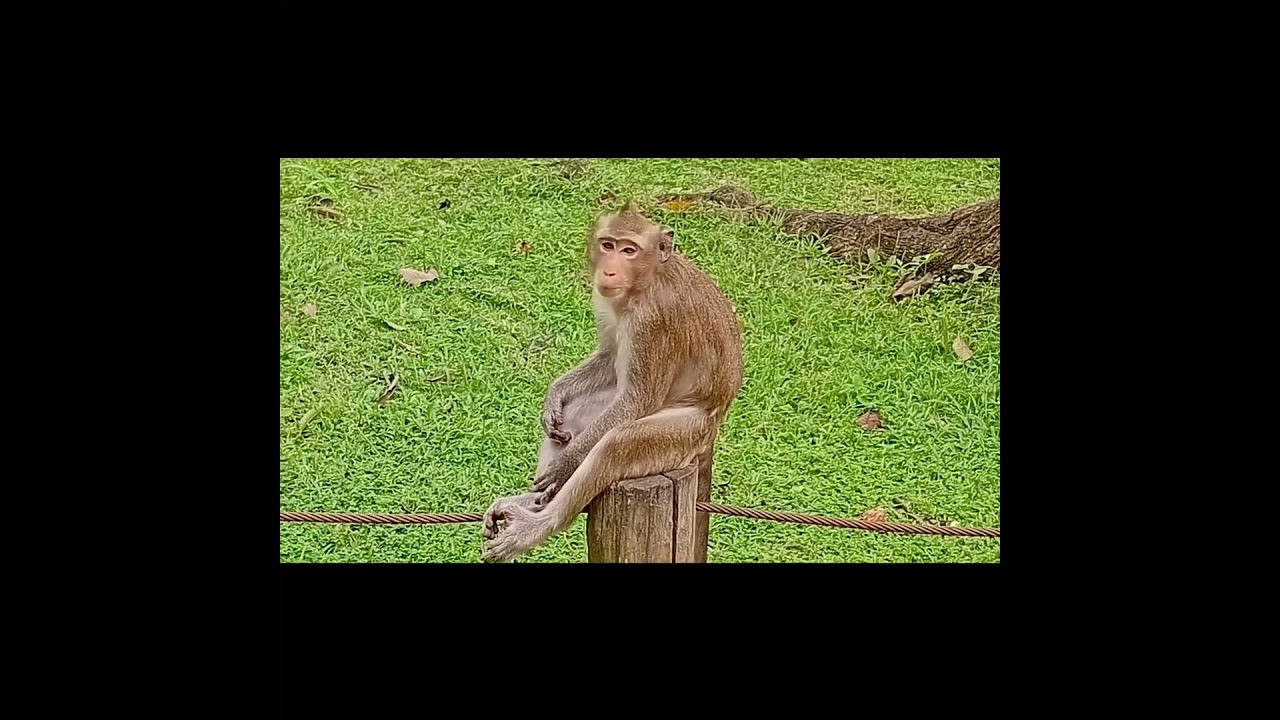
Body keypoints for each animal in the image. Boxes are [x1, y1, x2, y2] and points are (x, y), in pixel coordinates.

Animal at [481, 202, 744, 562]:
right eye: (608, 245)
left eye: (629, 250)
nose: (608, 272)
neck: (645, 282)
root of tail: (717, 417)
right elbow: (608, 359)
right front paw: (554, 395)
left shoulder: (653, 321)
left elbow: (637, 400)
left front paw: (567, 464)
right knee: (577, 413)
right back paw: (531, 503)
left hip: (687, 436)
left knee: (619, 442)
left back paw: (540, 524)